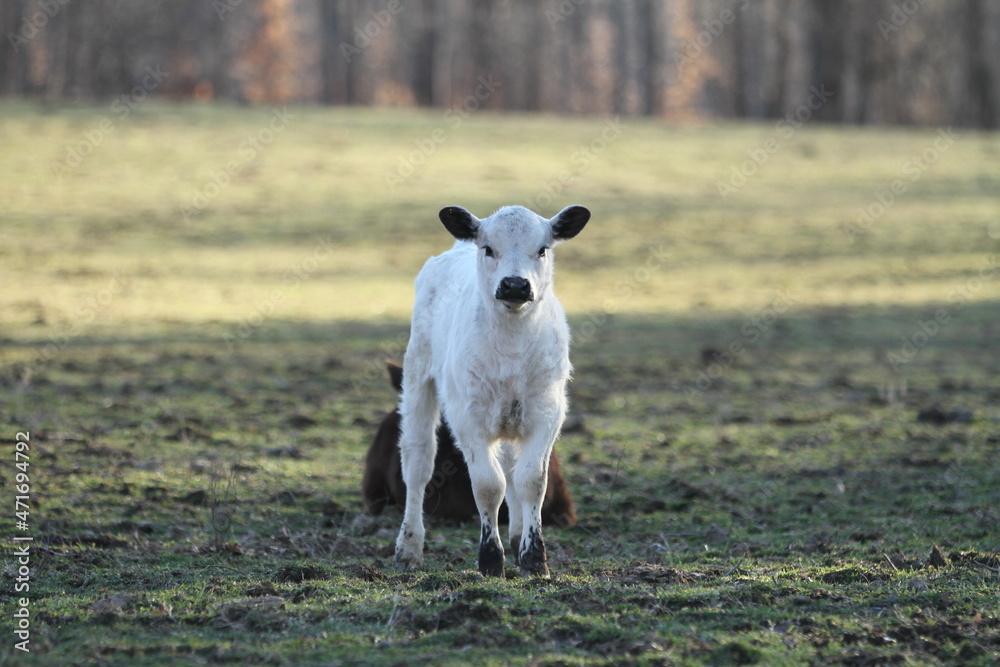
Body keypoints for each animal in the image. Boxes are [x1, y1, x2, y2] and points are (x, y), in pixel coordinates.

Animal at [393, 204, 590, 577]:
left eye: (542, 249)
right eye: (488, 248)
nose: (515, 285)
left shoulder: (547, 412)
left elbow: (531, 480)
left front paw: (534, 558)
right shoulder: (467, 416)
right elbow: (488, 484)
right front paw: (490, 559)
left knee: (512, 467)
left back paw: (516, 537)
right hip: (417, 374)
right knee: (417, 463)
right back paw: (408, 547)